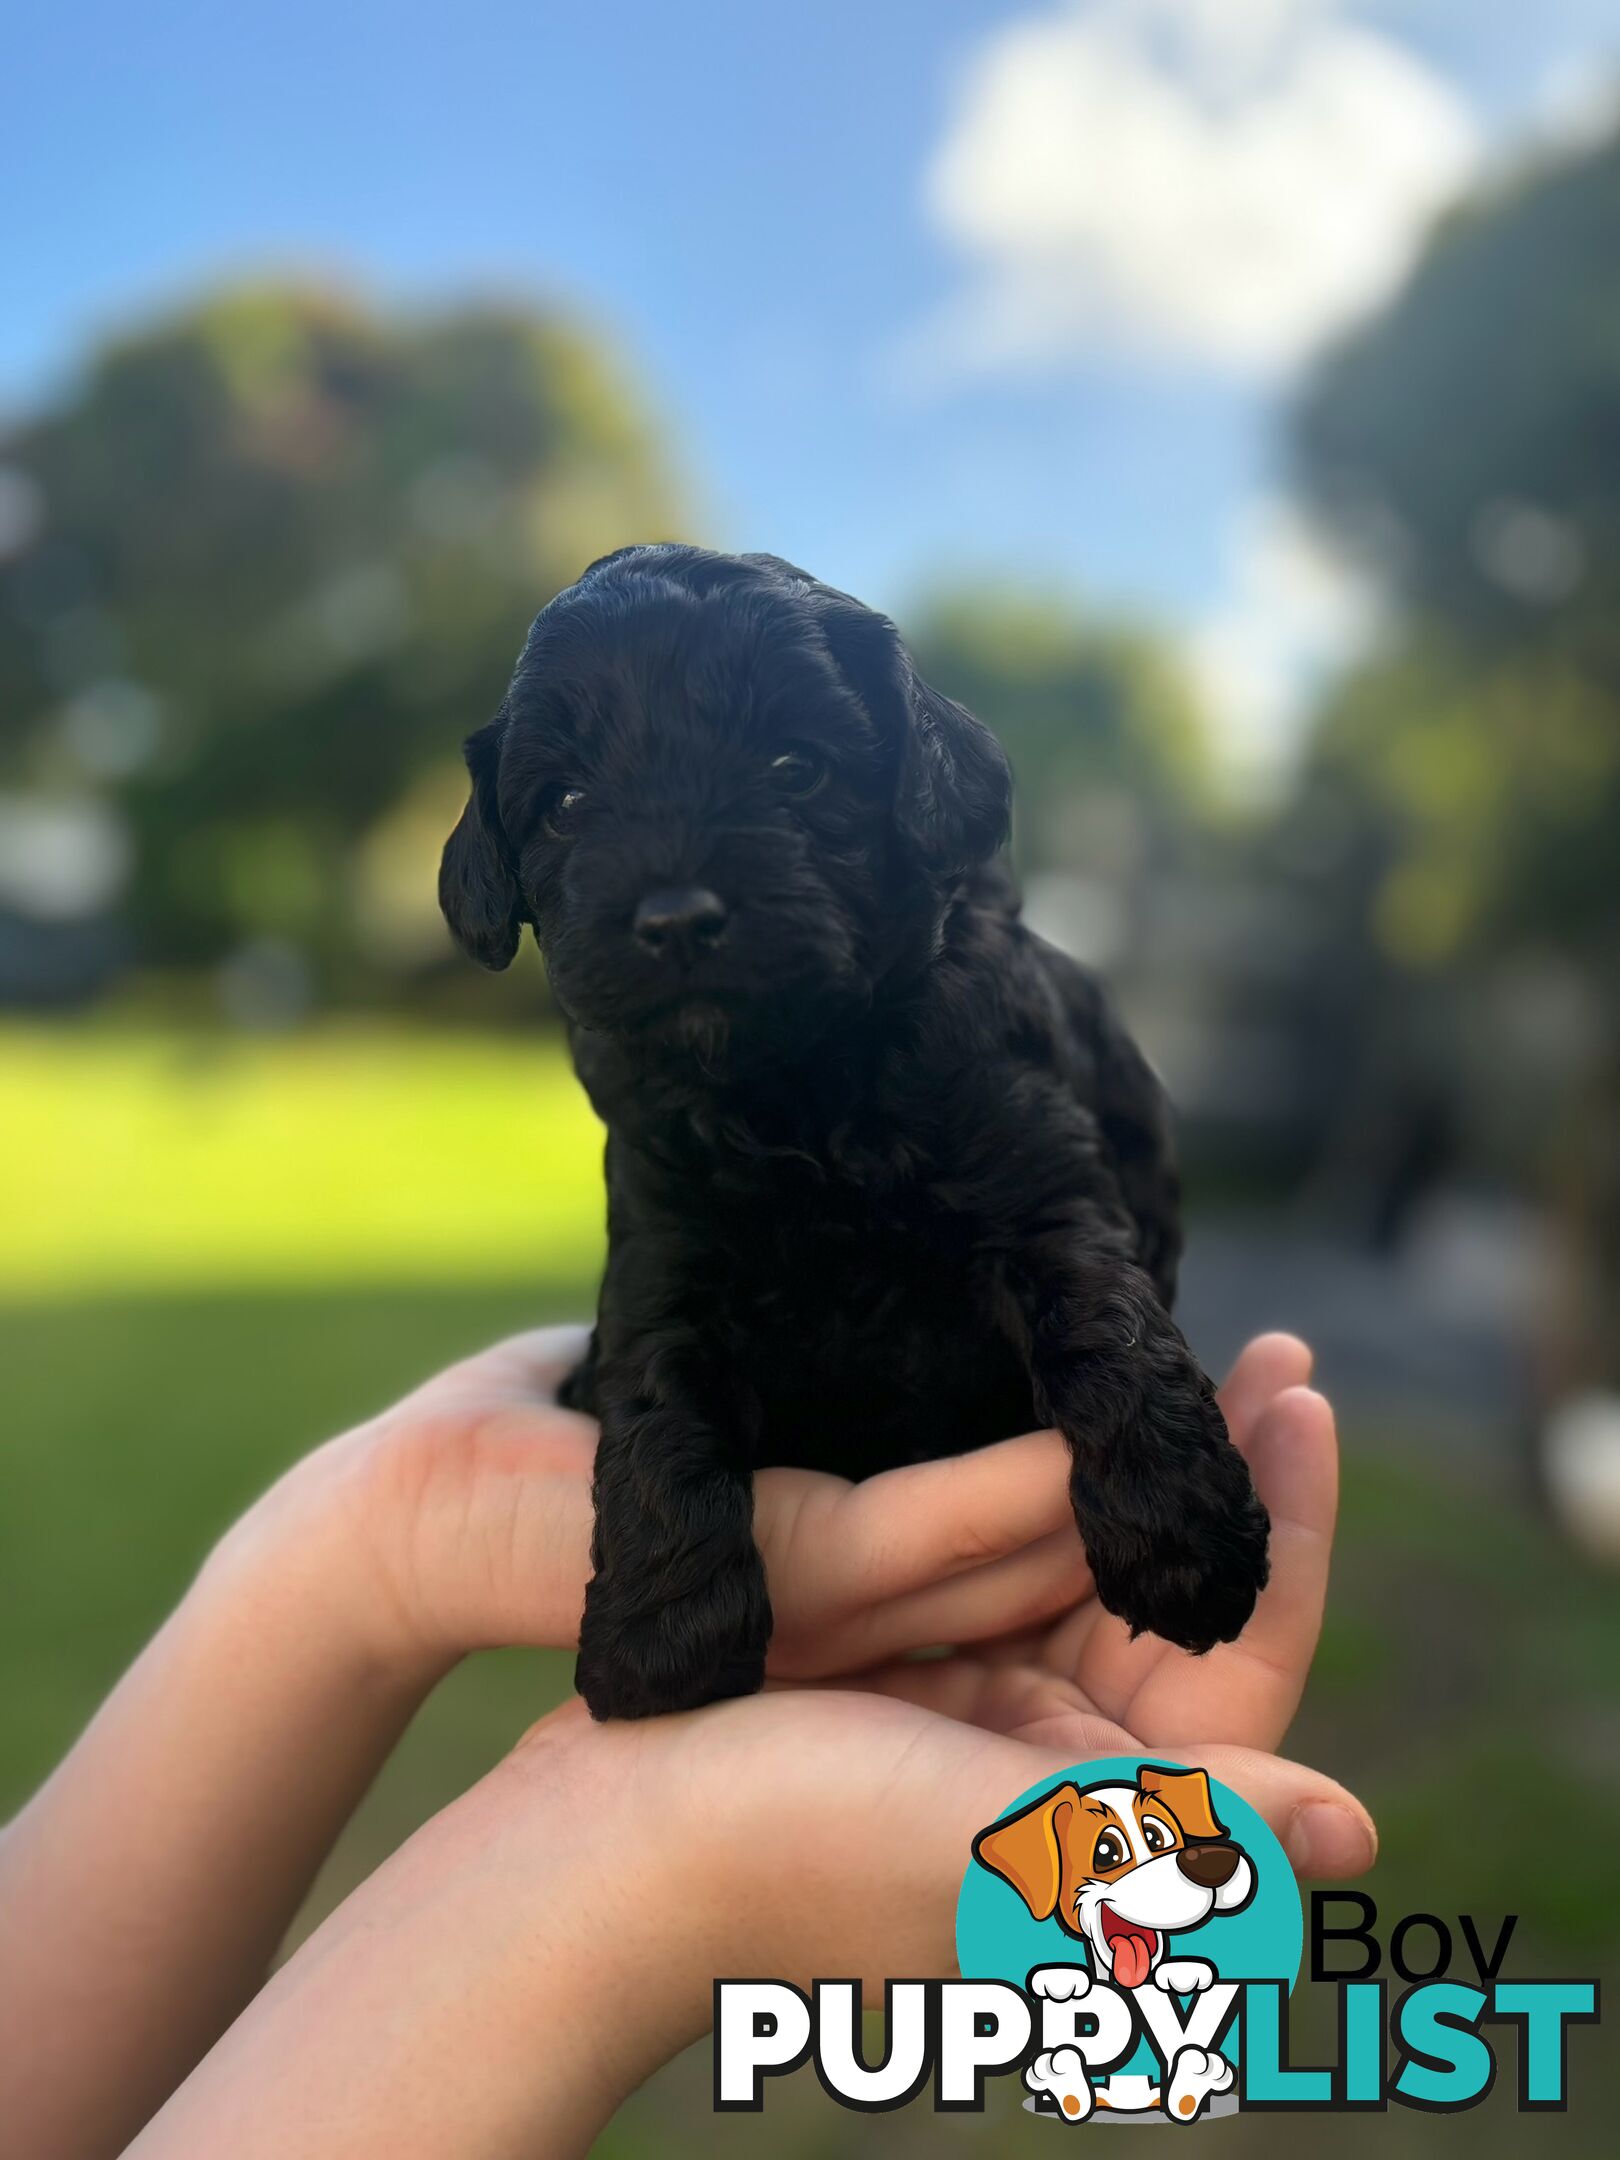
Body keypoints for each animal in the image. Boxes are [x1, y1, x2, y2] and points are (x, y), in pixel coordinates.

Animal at [440, 544, 1270, 1719]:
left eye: (795, 767)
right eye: (564, 803)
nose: (675, 918)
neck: (799, 1090)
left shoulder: (1037, 1184)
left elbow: (1106, 1323)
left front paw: (1184, 1536)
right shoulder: (663, 1248)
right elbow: (656, 1399)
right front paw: (664, 1638)